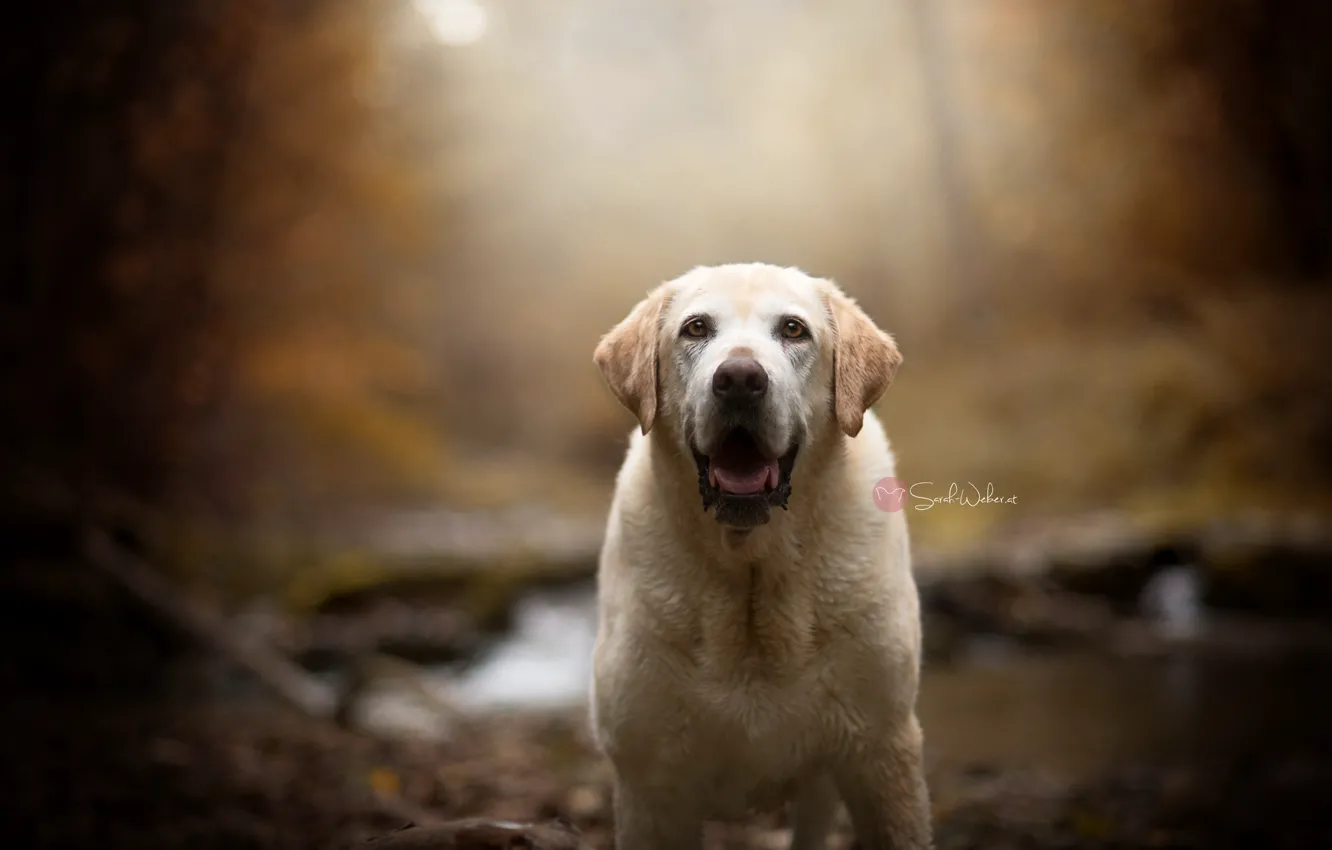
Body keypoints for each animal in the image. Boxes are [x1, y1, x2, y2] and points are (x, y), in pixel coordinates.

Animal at [588, 263, 932, 847]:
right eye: (696, 328)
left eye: (793, 330)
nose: (740, 380)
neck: (751, 572)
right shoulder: (648, 782)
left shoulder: (883, 750)